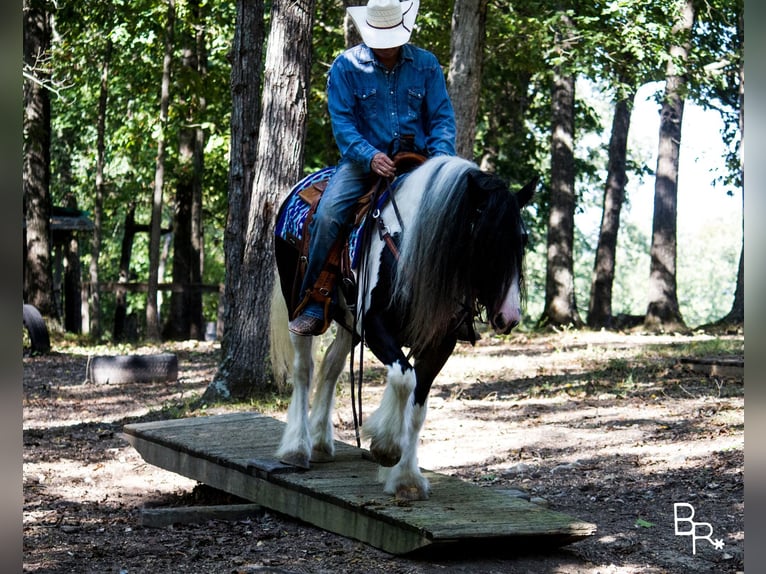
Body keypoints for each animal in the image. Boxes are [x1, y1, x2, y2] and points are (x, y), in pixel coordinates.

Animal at [272, 155, 536, 502]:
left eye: (523, 238)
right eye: (486, 238)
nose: (509, 315)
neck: (408, 246)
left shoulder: (438, 343)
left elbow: (418, 402)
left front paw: (406, 477)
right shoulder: (375, 327)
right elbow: (403, 379)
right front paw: (386, 447)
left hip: (347, 322)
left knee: (331, 366)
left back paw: (320, 442)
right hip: (298, 304)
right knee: (305, 369)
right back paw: (297, 447)